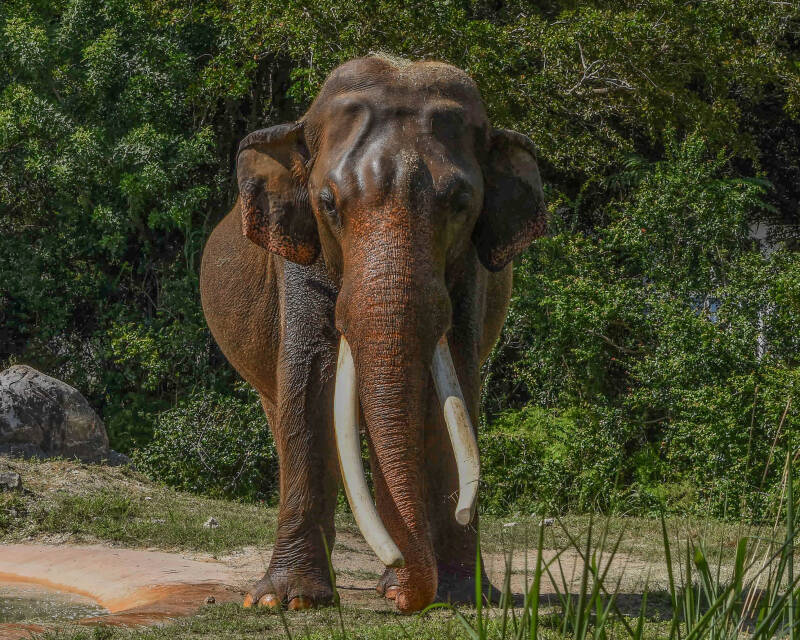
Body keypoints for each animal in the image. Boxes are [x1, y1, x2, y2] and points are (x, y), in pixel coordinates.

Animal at [199, 55, 546, 614]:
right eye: (328, 204)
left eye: (460, 203)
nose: (405, 597)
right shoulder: (298, 255)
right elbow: (310, 383)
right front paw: (285, 601)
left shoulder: (470, 271)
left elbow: (454, 388)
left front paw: (459, 597)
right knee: (282, 408)